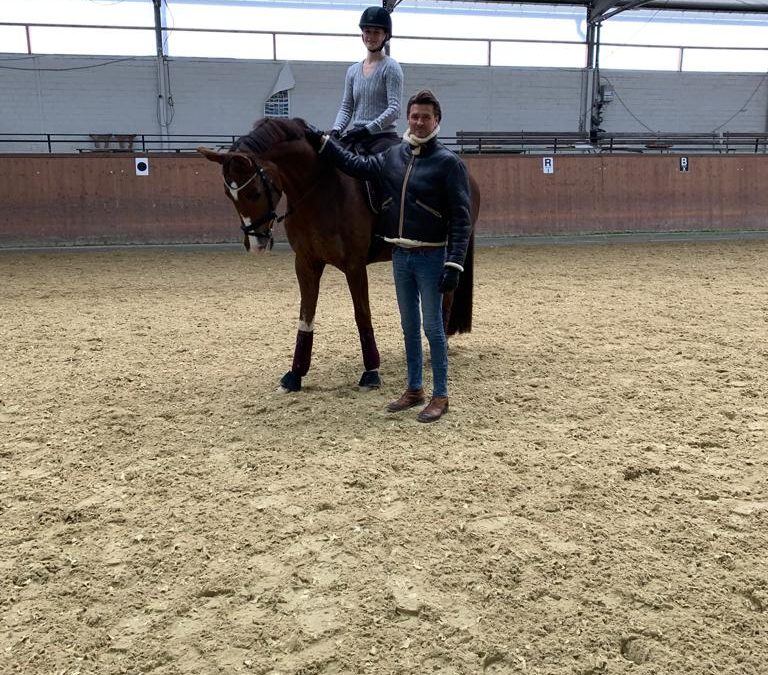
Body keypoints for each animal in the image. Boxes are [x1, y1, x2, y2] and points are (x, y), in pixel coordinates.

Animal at [196, 116, 480, 390]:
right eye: (228, 195)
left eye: (254, 193)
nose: (255, 244)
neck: (319, 191)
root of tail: (465, 172)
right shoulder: (306, 263)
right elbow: (306, 317)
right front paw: (295, 374)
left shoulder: (354, 265)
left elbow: (362, 315)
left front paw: (371, 372)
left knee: (445, 299)